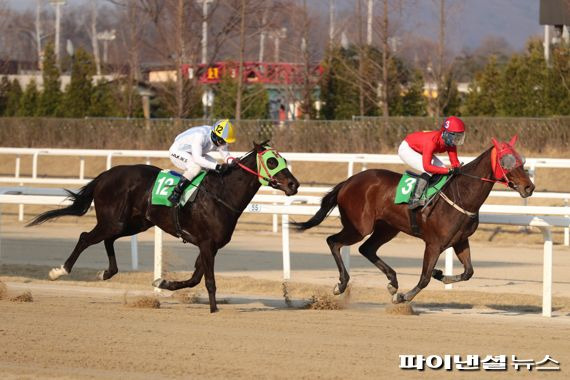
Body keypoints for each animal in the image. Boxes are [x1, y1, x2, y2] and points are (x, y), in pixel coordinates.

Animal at [27, 142, 298, 312]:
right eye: (272, 161)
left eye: (284, 159)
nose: (294, 184)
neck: (222, 194)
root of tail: (106, 175)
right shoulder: (207, 244)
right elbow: (208, 280)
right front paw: (214, 310)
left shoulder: (210, 246)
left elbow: (195, 278)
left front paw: (163, 283)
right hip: (114, 221)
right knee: (85, 237)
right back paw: (59, 271)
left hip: (134, 223)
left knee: (107, 240)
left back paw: (105, 273)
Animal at [292, 136, 532, 302]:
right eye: (506, 160)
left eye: (522, 160)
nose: (529, 187)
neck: (462, 195)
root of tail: (349, 181)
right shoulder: (434, 244)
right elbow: (424, 278)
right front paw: (404, 297)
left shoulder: (460, 241)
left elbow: (468, 272)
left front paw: (439, 274)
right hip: (359, 227)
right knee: (334, 241)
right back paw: (342, 284)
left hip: (387, 228)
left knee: (366, 249)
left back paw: (392, 281)